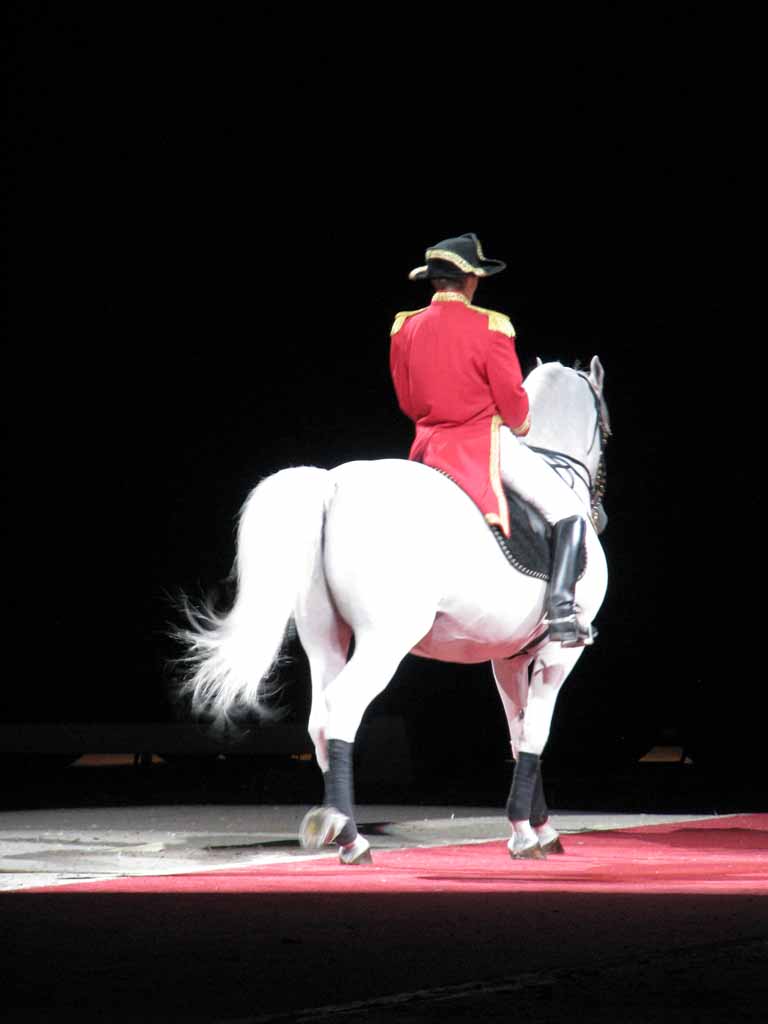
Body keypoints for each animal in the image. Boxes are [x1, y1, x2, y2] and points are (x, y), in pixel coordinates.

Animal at [180, 360, 614, 864]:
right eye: (606, 426)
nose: (600, 514)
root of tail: (333, 485)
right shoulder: (559, 657)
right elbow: (536, 735)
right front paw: (528, 835)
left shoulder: (507, 659)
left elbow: (518, 731)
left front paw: (535, 828)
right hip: (385, 640)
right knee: (344, 707)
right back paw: (350, 838)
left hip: (324, 634)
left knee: (320, 720)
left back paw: (336, 823)